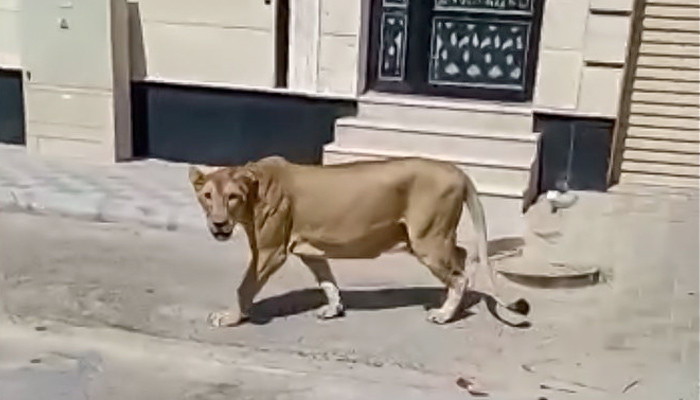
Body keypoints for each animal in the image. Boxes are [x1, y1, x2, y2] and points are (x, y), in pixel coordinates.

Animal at [189, 155, 528, 326]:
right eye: (207, 196)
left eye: (232, 197)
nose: (219, 223)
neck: (254, 188)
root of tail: (457, 170)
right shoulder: (309, 247)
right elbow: (326, 278)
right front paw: (334, 308)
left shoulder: (271, 252)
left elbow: (245, 287)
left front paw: (230, 317)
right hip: (434, 237)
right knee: (462, 254)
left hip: (427, 238)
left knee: (460, 275)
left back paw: (444, 314)